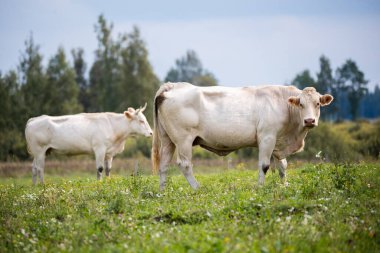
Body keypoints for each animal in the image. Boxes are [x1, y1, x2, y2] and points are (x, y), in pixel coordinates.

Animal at [24, 103, 153, 184]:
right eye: (141, 121)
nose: (151, 133)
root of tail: (34, 119)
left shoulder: (109, 153)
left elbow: (108, 169)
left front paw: (108, 183)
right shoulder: (99, 149)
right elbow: (100, 169)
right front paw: (99, 184)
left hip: (38, 152)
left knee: (34, 168)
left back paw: (34, 186)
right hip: (40, 150)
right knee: (40, 168)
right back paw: (43, 186)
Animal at [151, 82, 332, 189]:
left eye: (317, 103)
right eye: (301, 104)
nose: (309, 120)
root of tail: (173, 86)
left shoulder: (278, 141)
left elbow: (282, 166)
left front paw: (284, 185)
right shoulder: (267, 137)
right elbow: (264, 165)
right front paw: (260, 187)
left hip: (167, 140)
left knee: (164, 165)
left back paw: (162, 191)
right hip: (183, 140)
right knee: (185, 164)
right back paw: (197, 188)